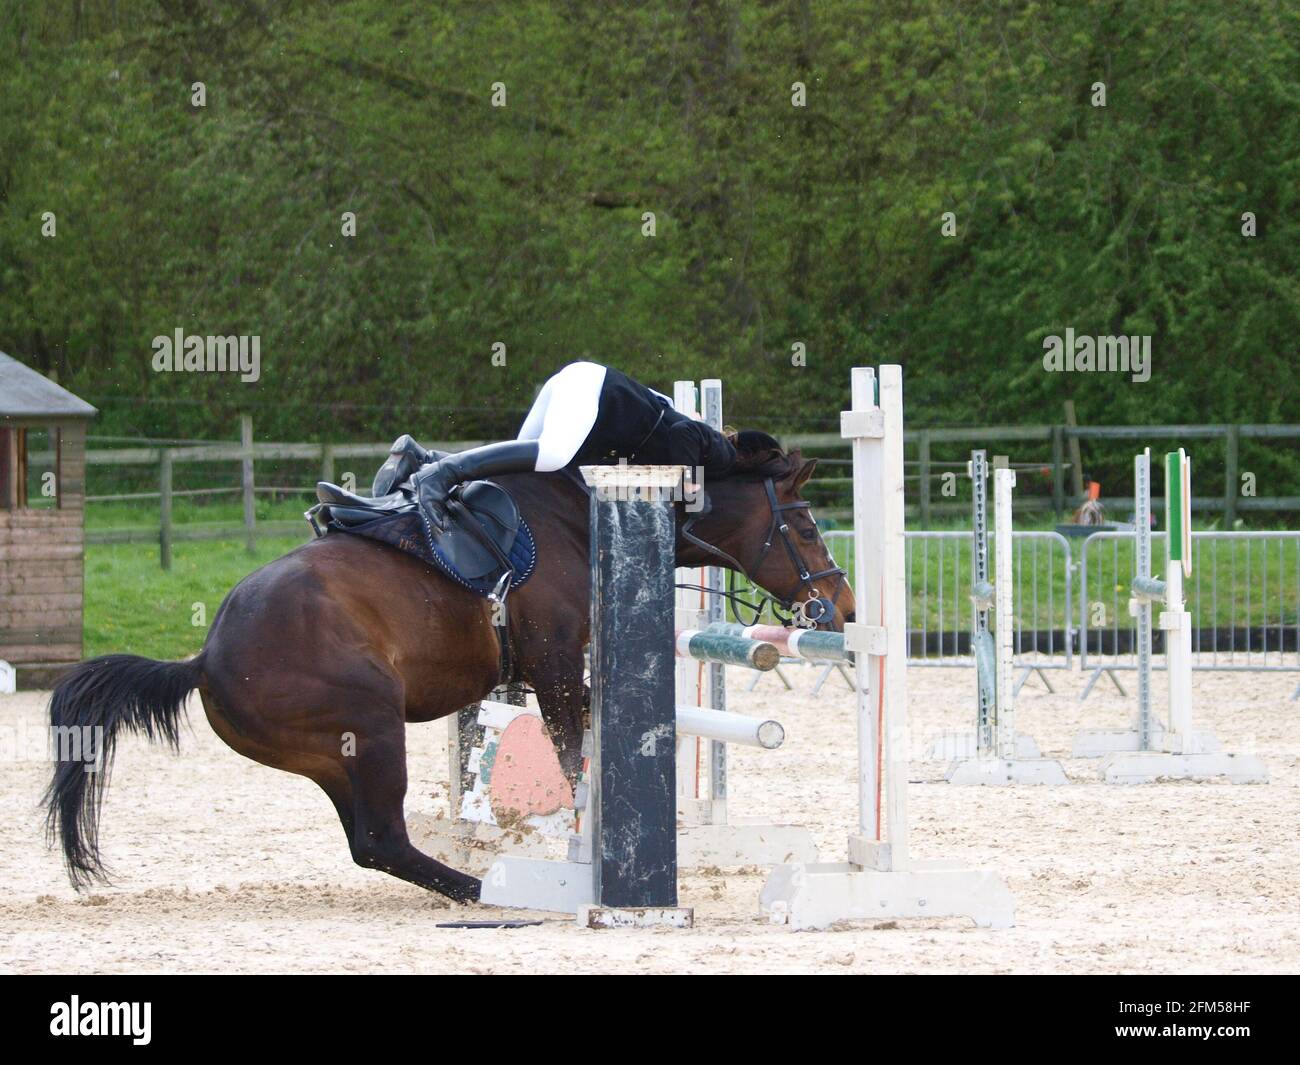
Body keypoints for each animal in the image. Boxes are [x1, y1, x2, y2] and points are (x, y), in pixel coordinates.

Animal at [45, 437, 855, 903]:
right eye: (806, 522)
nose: (841, 605)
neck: (572, 518)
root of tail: (205, 659)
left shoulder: (541, 673)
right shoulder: (553, 665)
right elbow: (575, 753)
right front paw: (583, 847)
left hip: (333, 755)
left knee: (371, 841)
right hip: (370, 724)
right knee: (381, 839)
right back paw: (483, 890)